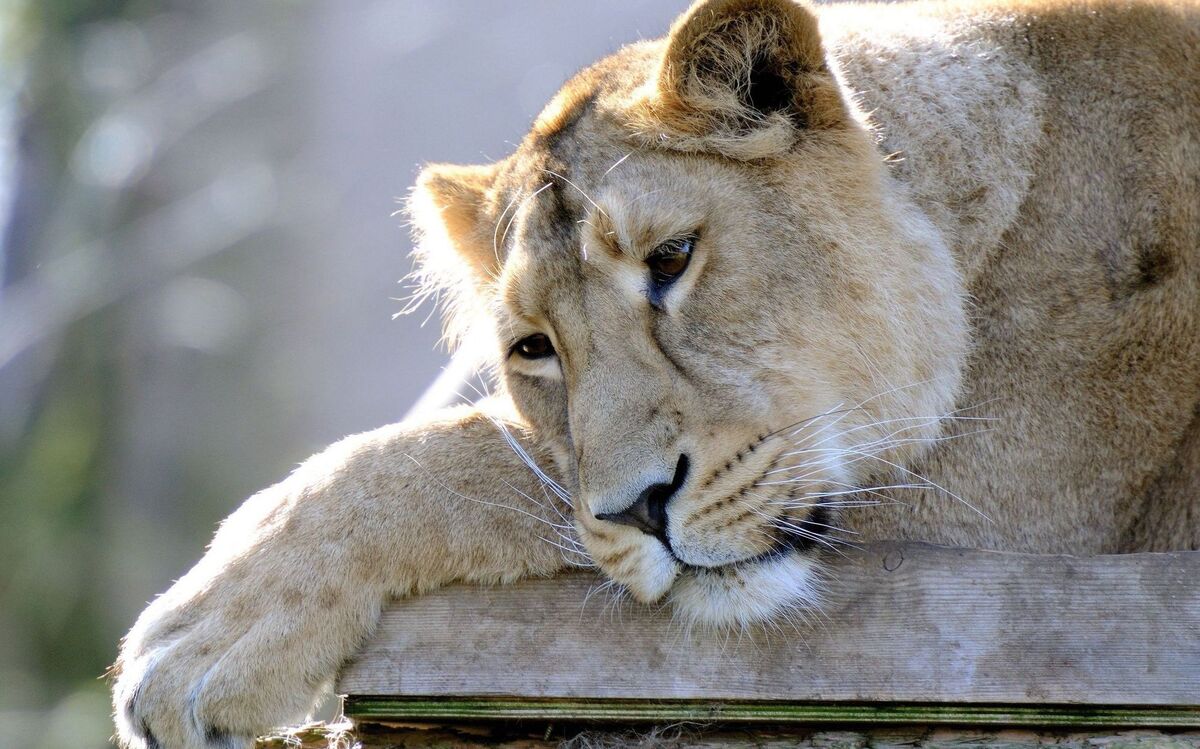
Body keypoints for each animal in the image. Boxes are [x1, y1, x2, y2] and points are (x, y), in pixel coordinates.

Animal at [112, 0, 1200, 746]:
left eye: (672, 259)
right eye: (532, 347)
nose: (641, 509)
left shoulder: (1011, 517)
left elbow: (478, 456)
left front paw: (206, 632)